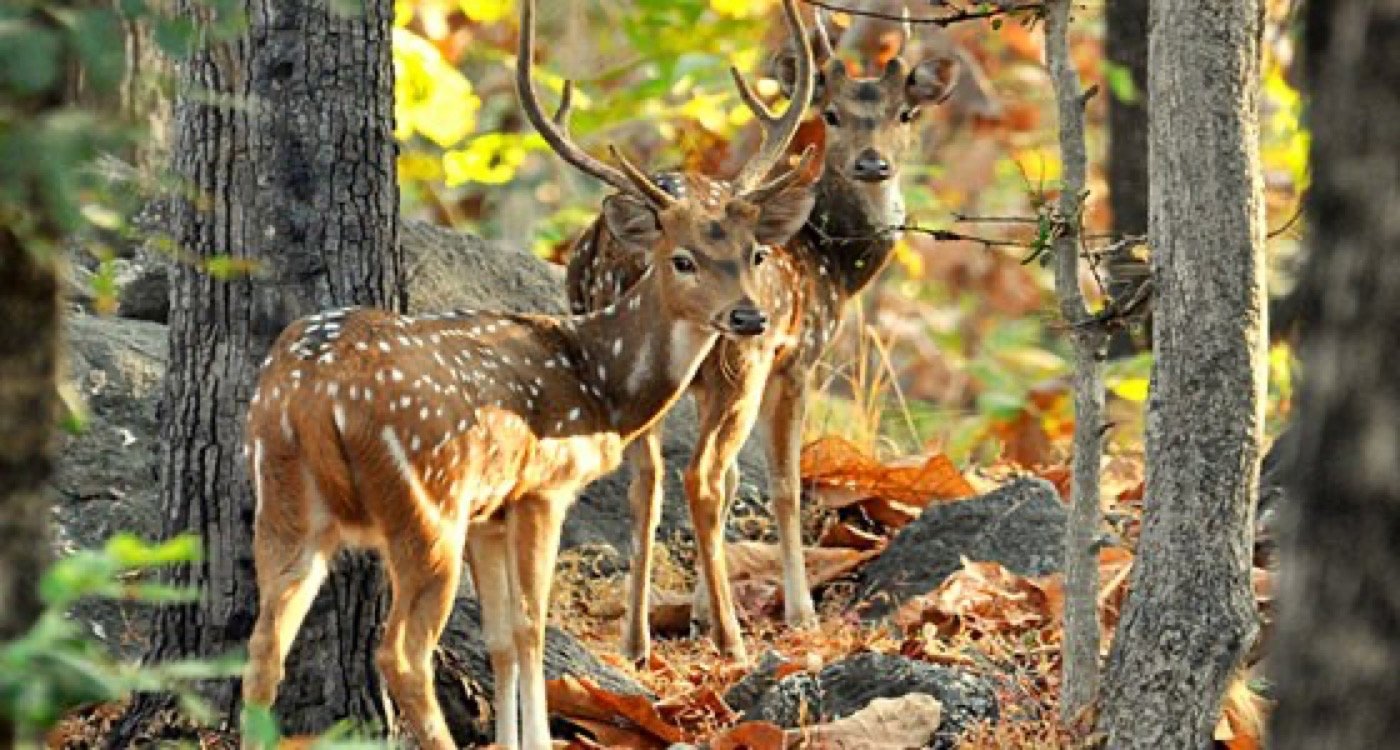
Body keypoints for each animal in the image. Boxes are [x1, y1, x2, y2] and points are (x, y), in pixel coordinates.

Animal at [237, 0, 815, 747]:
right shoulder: (545, 488)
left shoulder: (493, 511)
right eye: (682, 258)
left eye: (753, 254)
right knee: (401, 655)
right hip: (426, 507)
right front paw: (538, 737)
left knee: (261, 650)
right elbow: (534, 628)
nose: (749, 317)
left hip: (282, 499)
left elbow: (502, 638)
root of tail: (311, 397)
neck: (601, 383)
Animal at [566, 9, 961, 663]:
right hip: (742, 353)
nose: (873, 163)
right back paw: (733, 642)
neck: (831, 264)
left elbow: (728, 486)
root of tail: (621, 250)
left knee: (648, 482)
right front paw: (797, 613)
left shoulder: (702, 381)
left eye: (906, 113)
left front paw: (699, 612)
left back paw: (637, 639)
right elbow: (782, 484)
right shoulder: (796, 359)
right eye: (832, 113)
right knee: (696, 475)